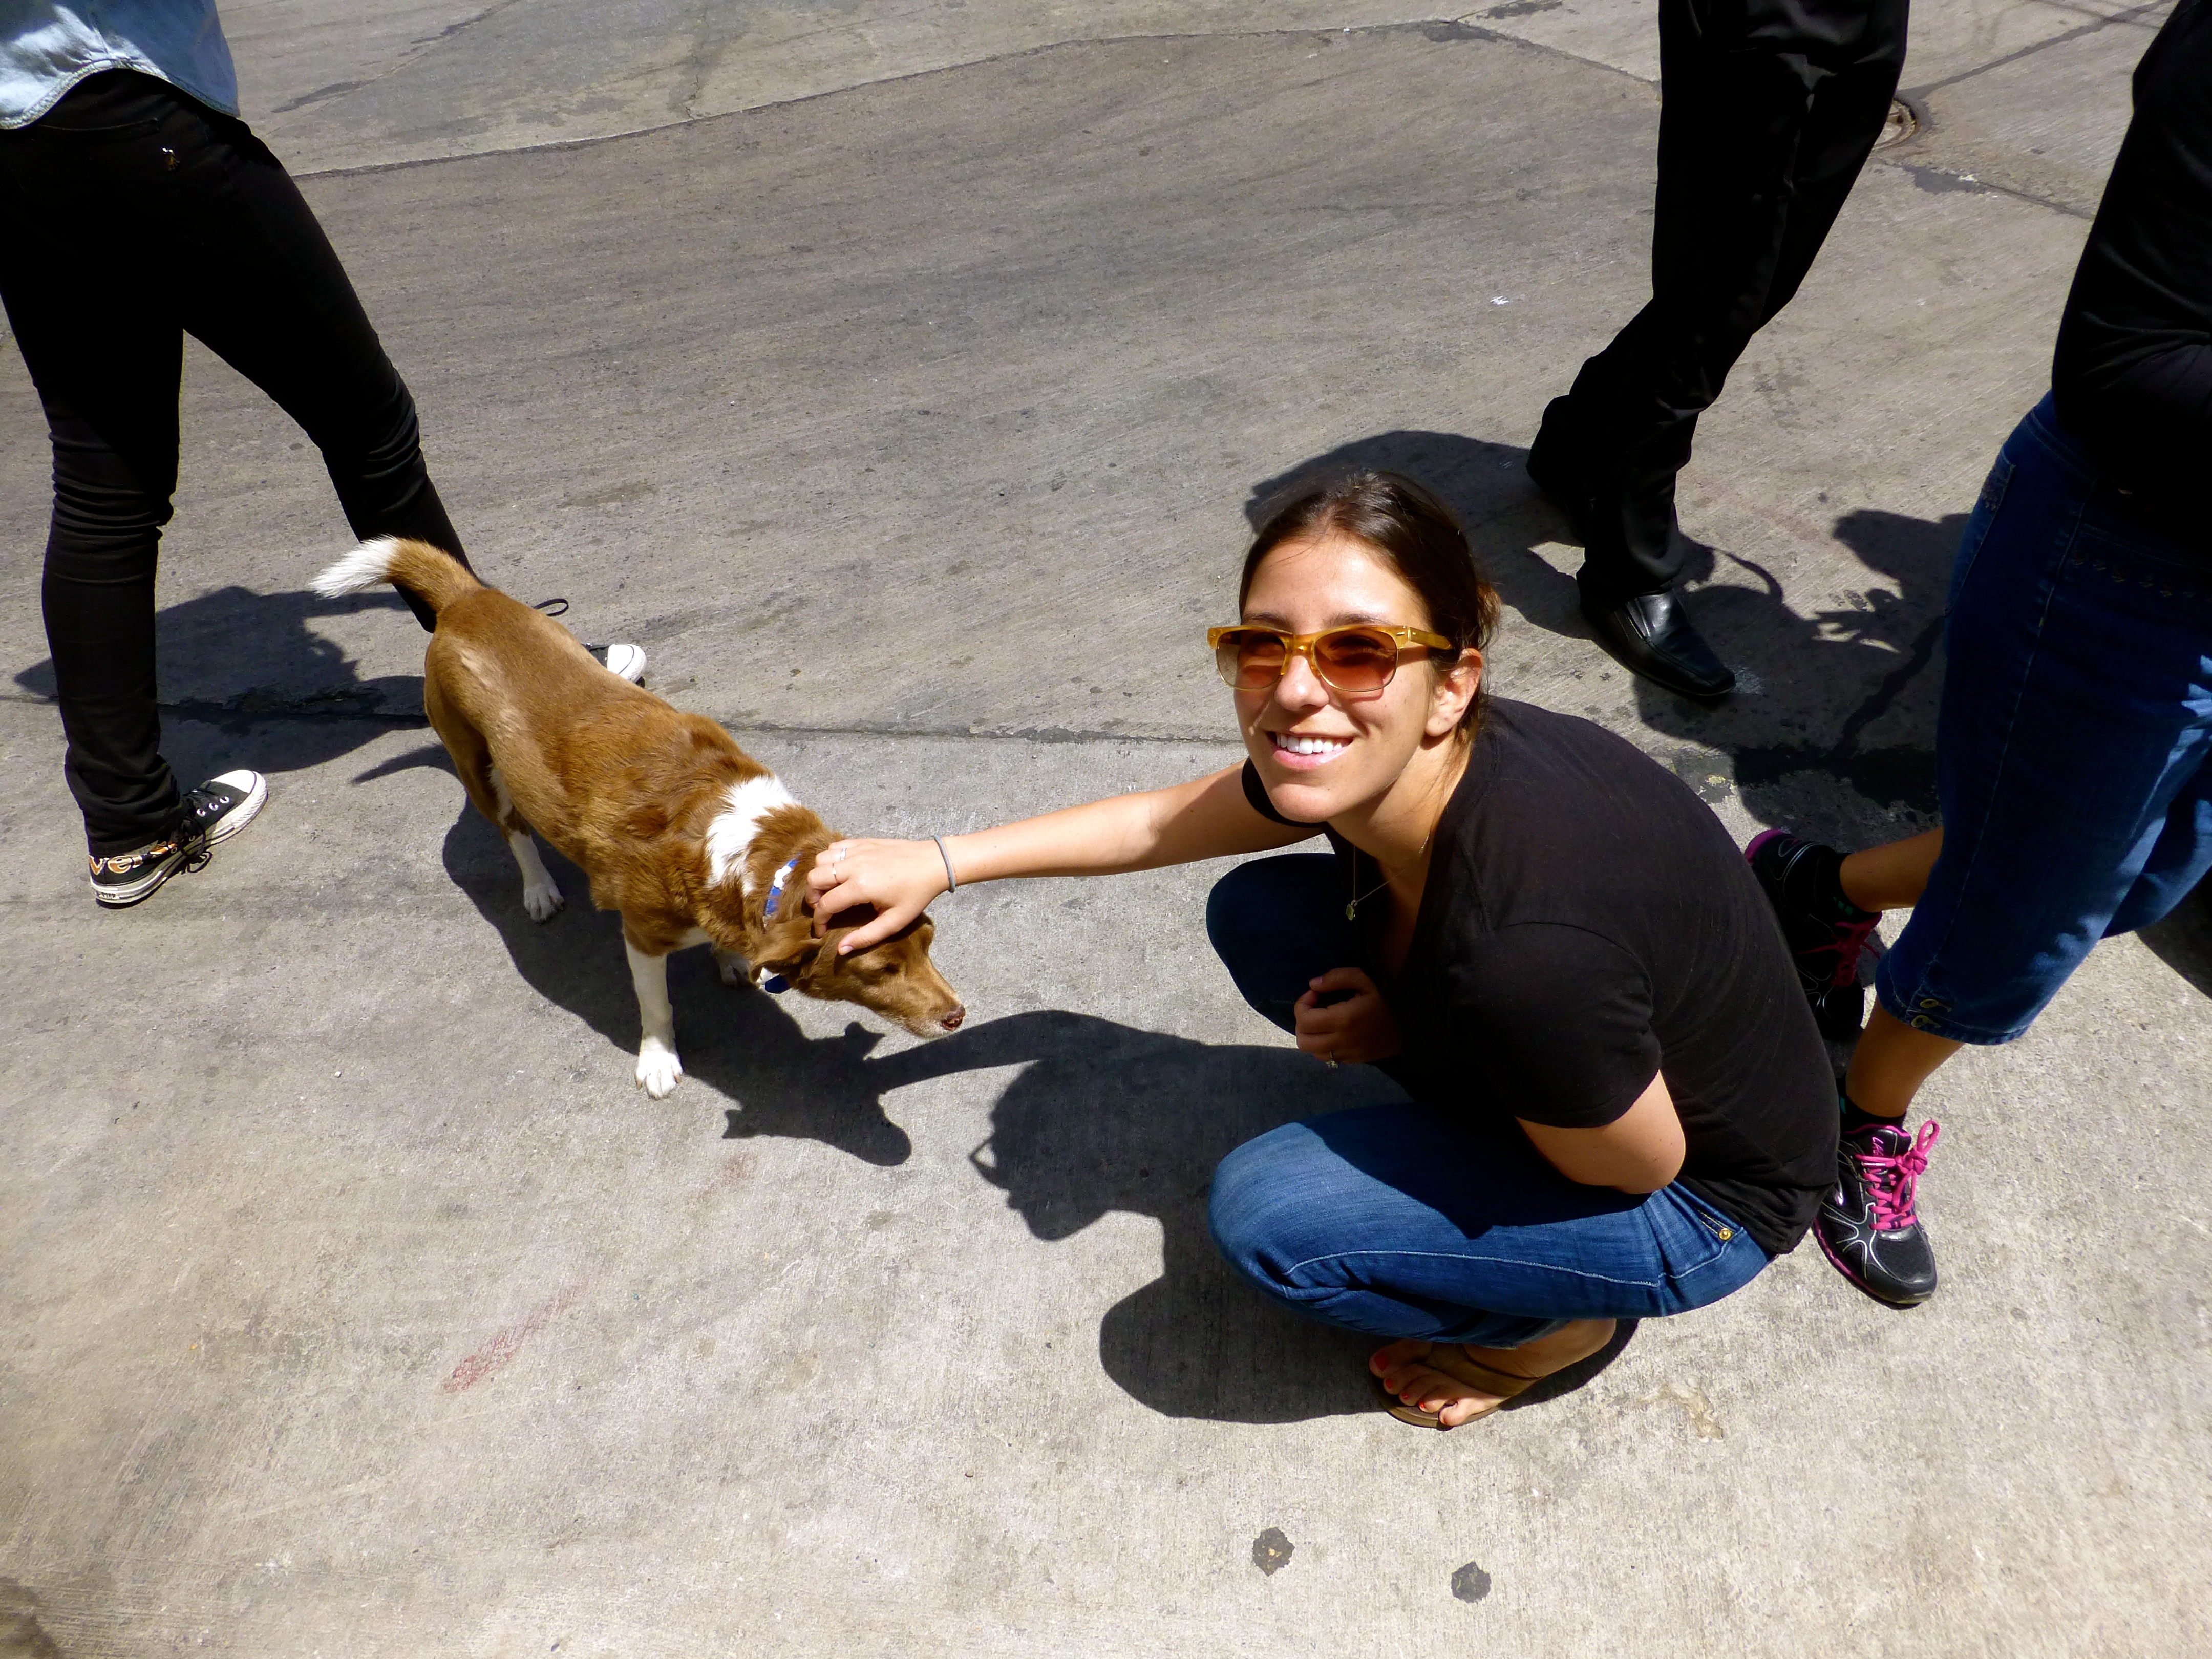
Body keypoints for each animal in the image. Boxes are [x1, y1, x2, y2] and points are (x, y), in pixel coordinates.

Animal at [313, 537, 965, 1096]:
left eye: (929, 942)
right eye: (880, 969)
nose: (958, 1016)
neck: (752, 855)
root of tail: (466, 599)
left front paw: (731, 959)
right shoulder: (643, 936)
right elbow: (657, 1006)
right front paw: (658, 1060)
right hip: (478, 767)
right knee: (514, 830)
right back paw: (539, 889)